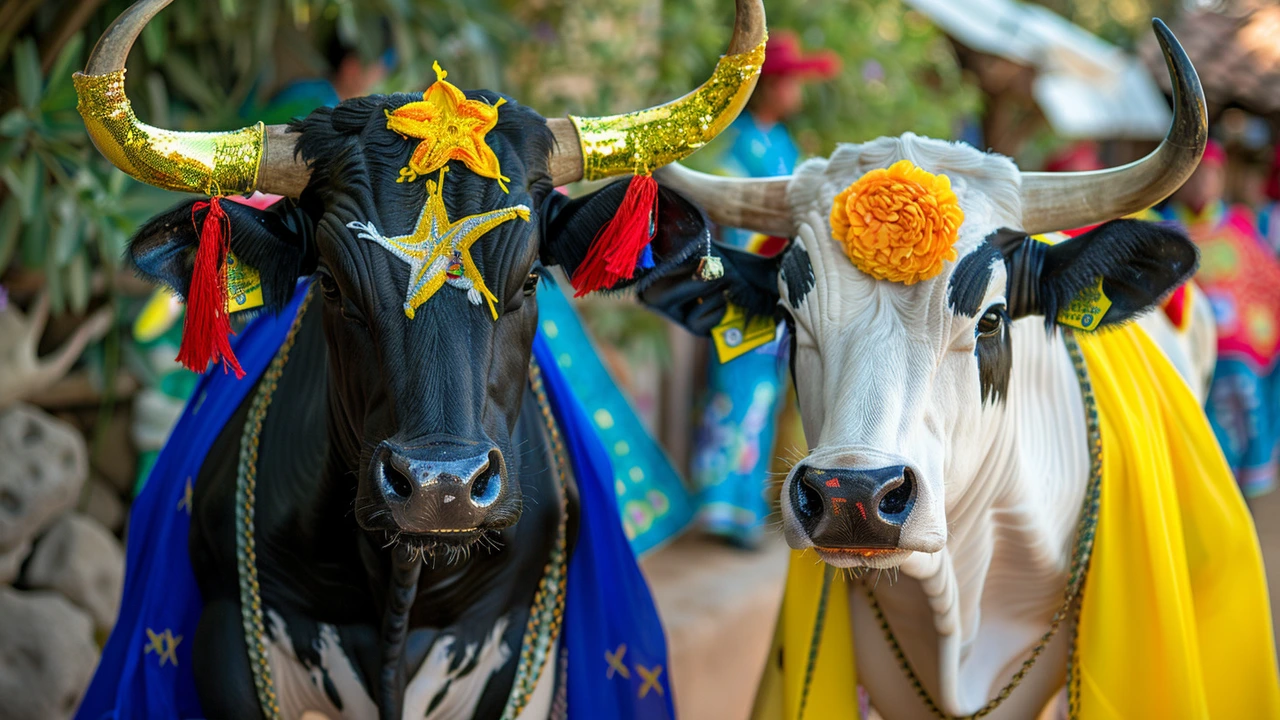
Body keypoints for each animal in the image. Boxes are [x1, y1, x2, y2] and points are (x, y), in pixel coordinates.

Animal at [135, 92, 783, 712]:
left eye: (530, 279)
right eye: (330, 283)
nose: (441, 487)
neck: (399, 585)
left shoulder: (500, 643)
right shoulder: (229, 645)